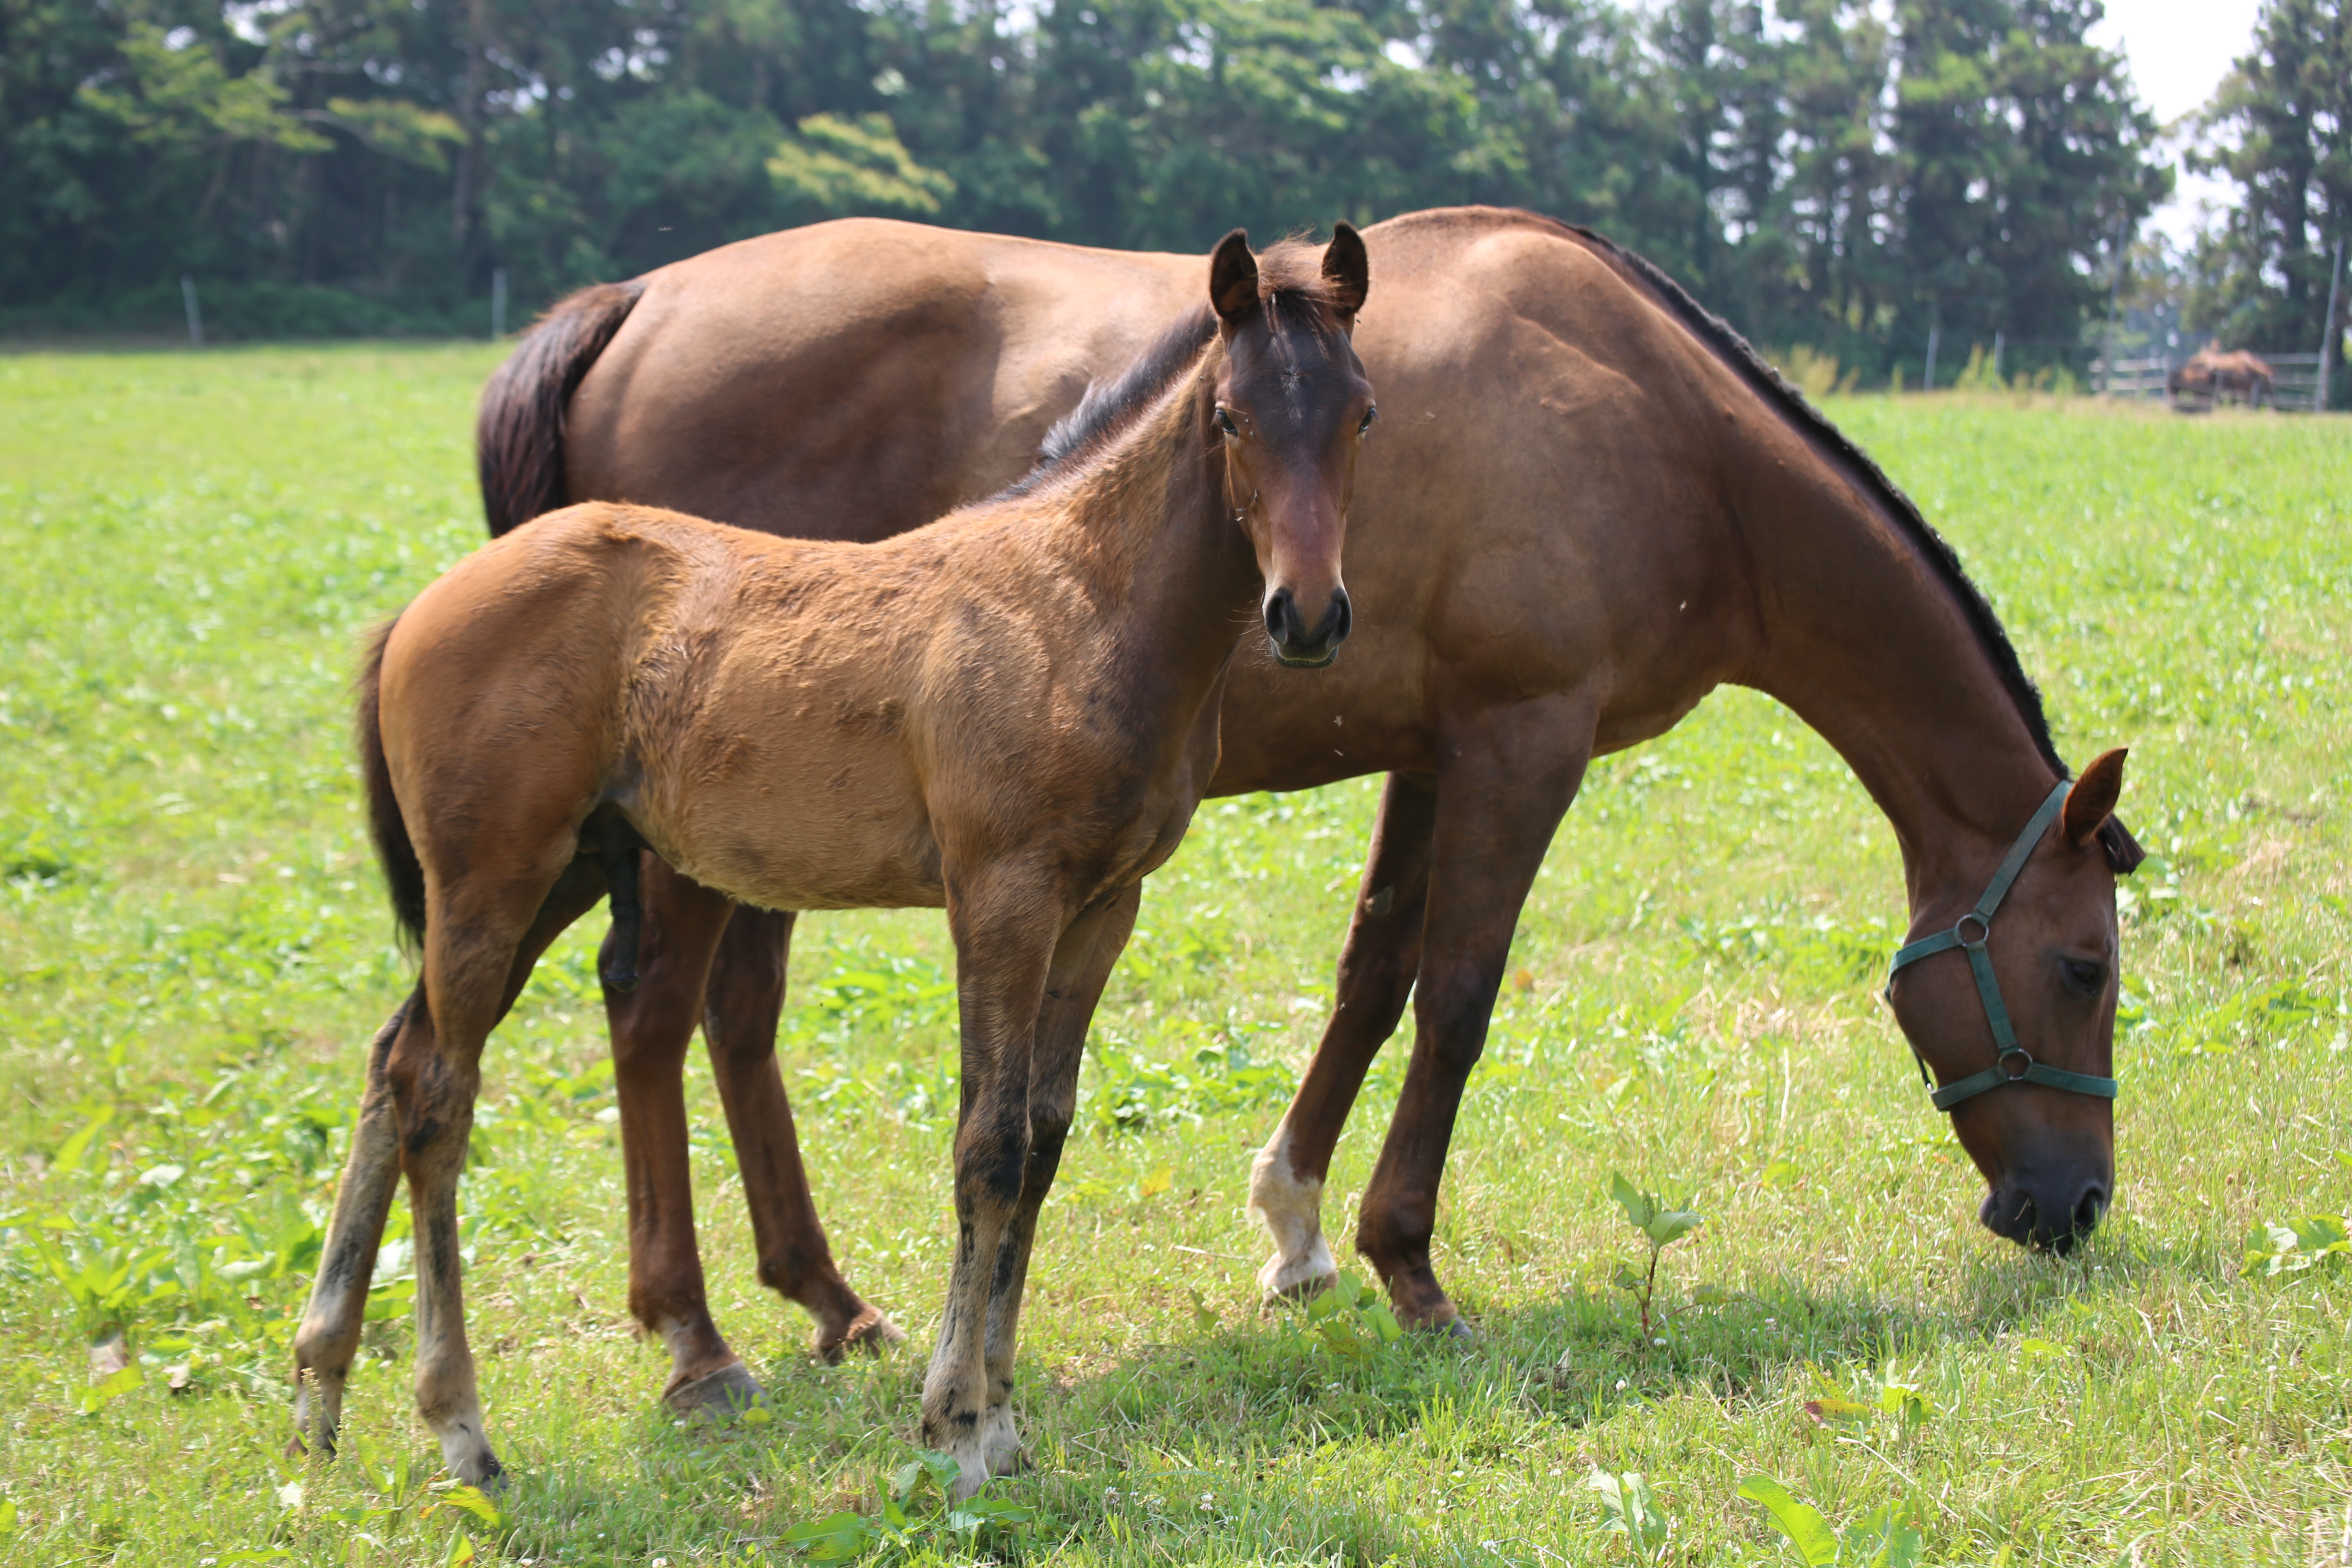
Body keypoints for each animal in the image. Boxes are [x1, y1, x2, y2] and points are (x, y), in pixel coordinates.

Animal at [303, 227, 1383, 1495]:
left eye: (1362, 412)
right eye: (1228, 416)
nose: (1305, 616)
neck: (1078, 602)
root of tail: (419, 609)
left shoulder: (1104, 904)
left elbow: (1045, 1136)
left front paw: (1001, 1417)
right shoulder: (1001, 894)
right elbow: (989, 1143)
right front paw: (956, 1427)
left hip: (548, 880)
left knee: (394, 1058)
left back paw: (319, 1389)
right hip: (492, 881)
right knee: (439, 1093)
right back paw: (463, 1429)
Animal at [468, 205, 2145, 1410]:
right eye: (2085, 966)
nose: (2071, 1205)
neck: (1652, 426)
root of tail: (634, 302)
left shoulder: (1432, 746)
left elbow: (1374, 969)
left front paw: (1294, 1224)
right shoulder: (1524, 741)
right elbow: (1457, 996)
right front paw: (1410, 1267)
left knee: (728, 1015)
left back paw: (823, 1299)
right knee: (651, 1007)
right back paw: (696, 1342)